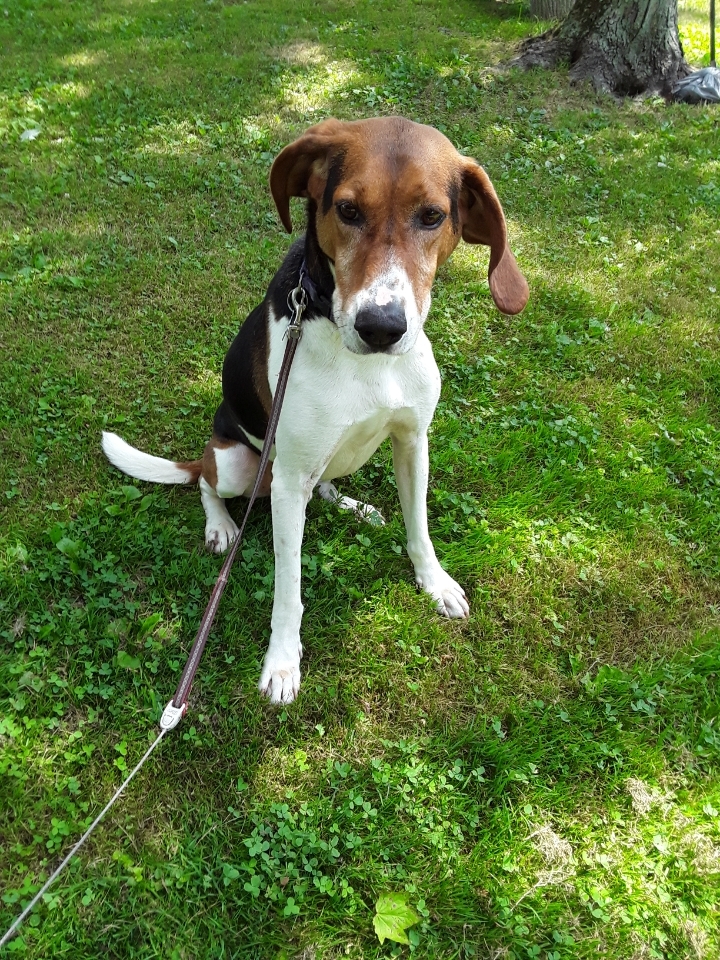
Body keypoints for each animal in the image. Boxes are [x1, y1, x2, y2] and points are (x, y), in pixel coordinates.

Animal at [102, 116, 528, 700]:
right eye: (347, 210)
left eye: (432, 216)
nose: (381, 326)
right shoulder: (287, 481)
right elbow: (289, 588)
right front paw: (282, 662)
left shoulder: (412, 442)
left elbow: (419, 527)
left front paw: (434, 581)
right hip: (239, 465)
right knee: (208, 483)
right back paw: (221, 525)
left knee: (323, 484)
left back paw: (350, 504)